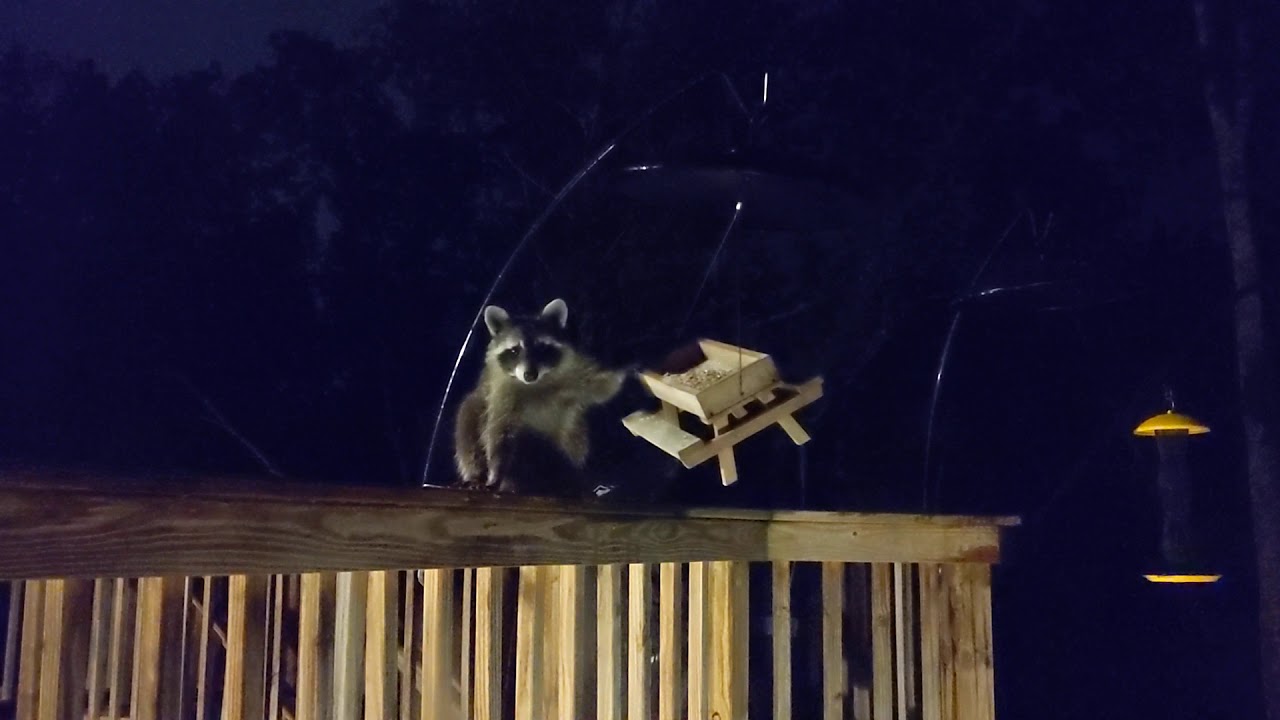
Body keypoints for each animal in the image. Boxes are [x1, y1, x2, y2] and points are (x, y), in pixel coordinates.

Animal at [453, 298, 628, 495]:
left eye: (542, 347)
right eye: (514, 350)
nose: (530, 374)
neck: (537, 384)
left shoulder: (575, 373)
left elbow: (605, 387)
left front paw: (627, 373)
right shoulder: (501, 394)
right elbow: (499, 435)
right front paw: (495, 475)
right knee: (468, 421)